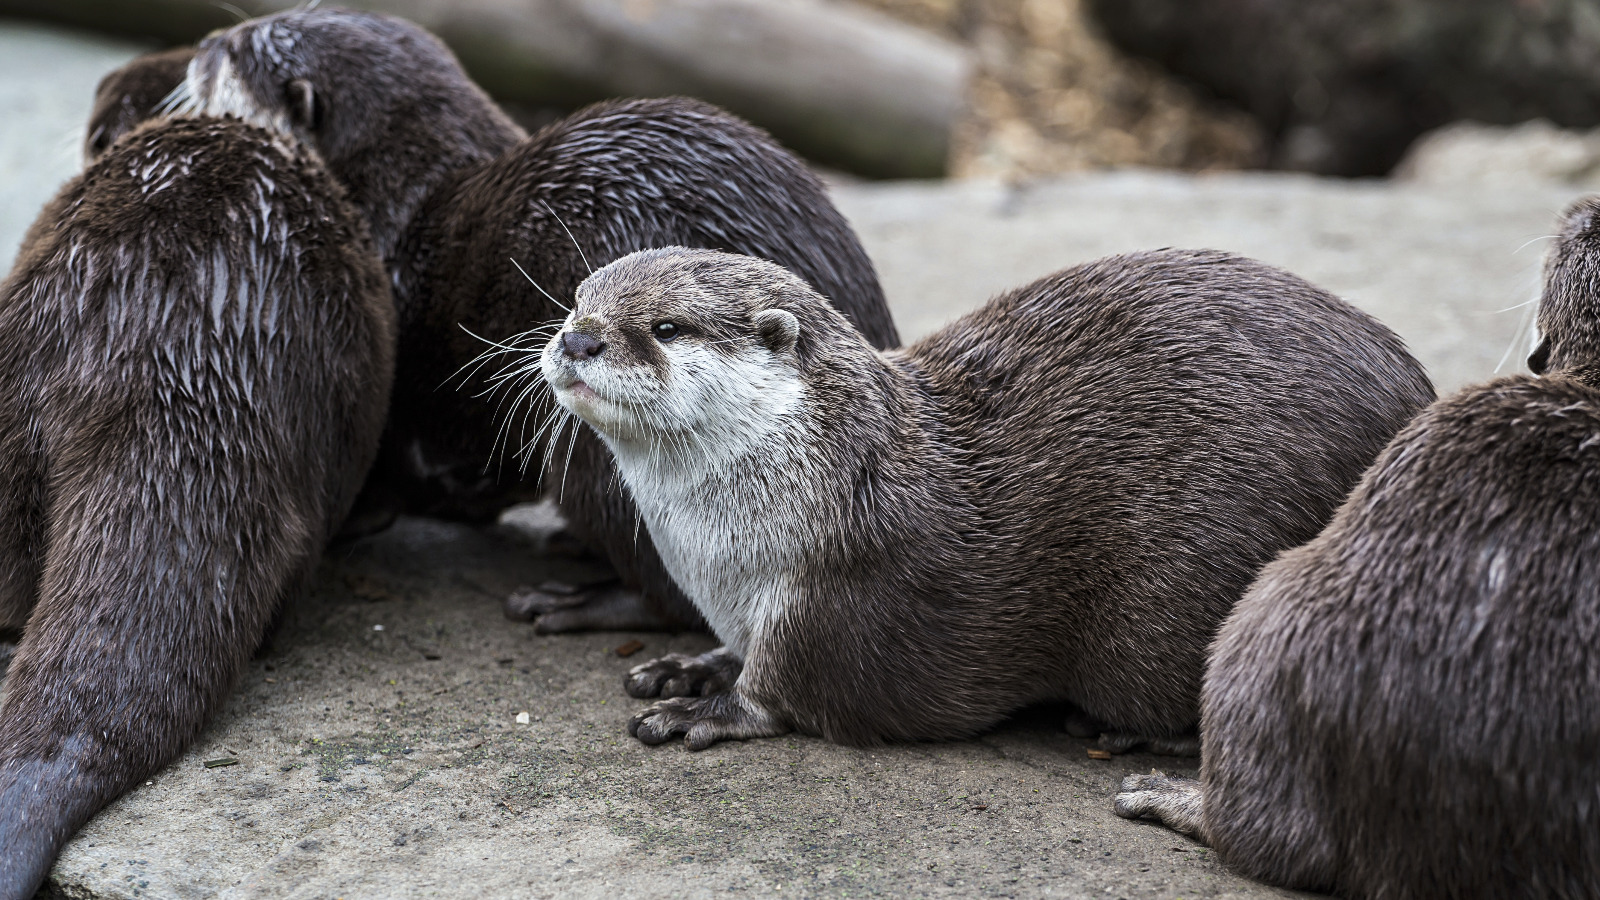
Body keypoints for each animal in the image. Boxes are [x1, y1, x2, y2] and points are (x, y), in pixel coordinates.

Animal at [535, 246, 1434, 751]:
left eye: (668, 327)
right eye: (578, 299)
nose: (578, 338)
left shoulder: (844, 589)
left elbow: (795, 688)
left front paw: (718, 709)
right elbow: (729, 648)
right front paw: (690, 665)